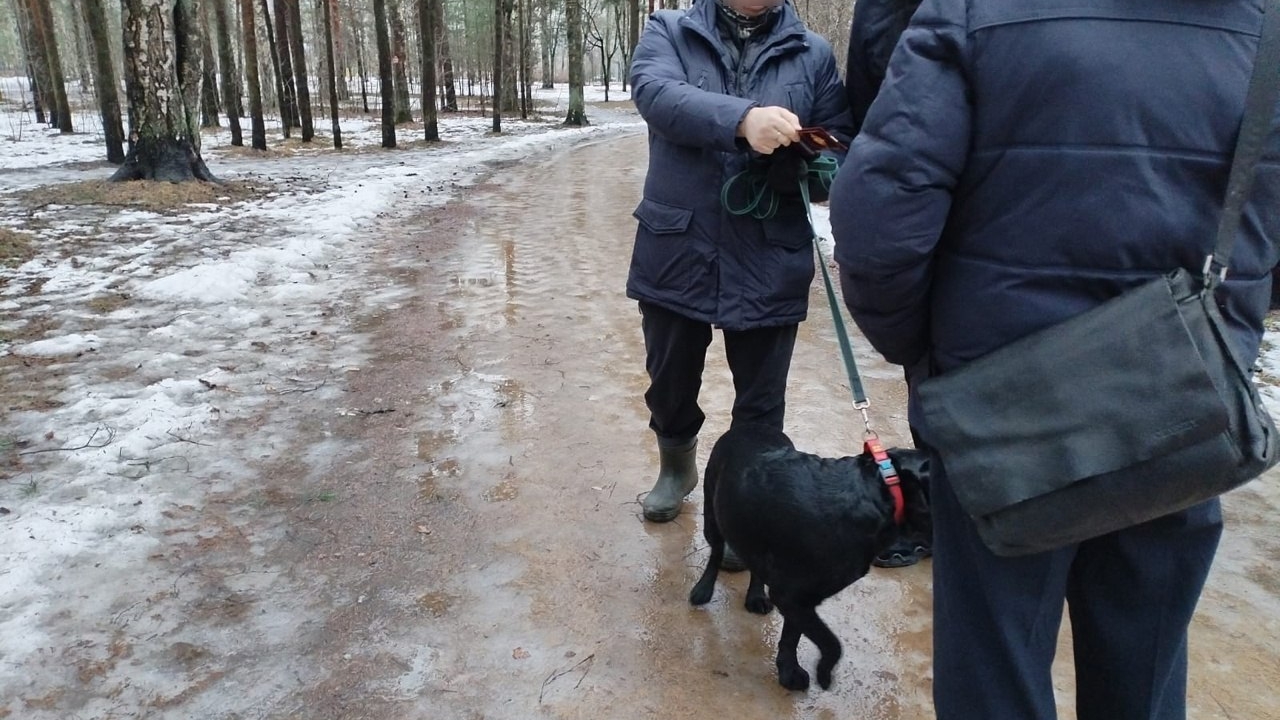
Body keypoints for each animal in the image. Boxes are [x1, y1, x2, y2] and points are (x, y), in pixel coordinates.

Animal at [691, 420, 931, 691]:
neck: (880, 490)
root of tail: (750, 426)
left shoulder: (798, 599)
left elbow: (793, 635)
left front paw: (788, 671)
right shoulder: (793, 595)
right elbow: (831, 643)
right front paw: (821, 673)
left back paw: (756, 596)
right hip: (713, 512)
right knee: (716, 551)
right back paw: (703, 589)